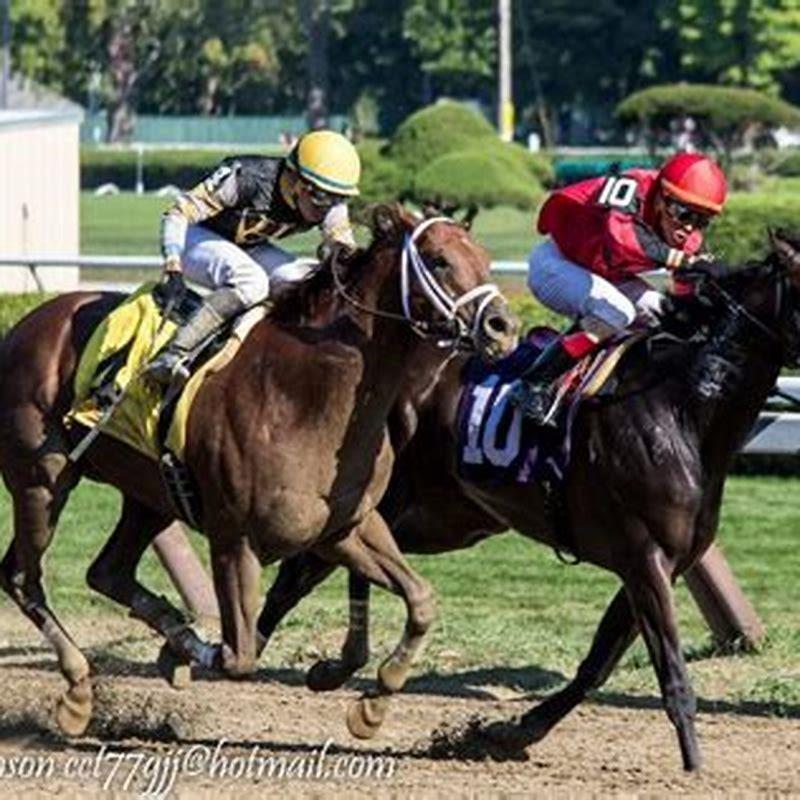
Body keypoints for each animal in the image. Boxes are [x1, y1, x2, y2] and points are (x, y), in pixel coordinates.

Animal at [0, 205, 520, 736]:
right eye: (439, 260)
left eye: (484, 258)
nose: (502, 326)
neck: (306, 396)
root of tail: (27, 324)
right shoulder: (234, 538)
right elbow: (239, 656)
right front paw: (182, 653)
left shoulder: (346, 527)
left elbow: (421, 600)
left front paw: (373, 704)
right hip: (41, 479)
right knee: (22, 577)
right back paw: (79, 689)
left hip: (149, 494)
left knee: (107, 571)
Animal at [255, 233, 800, 768]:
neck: (677, 408)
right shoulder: (645, 559)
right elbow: (670, 670)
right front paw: (693, 766)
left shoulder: (655, 565)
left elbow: (596, 666)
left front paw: (508, 733)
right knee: (300, 573)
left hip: (438, 516)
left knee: (344, 565)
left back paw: (342, 669)